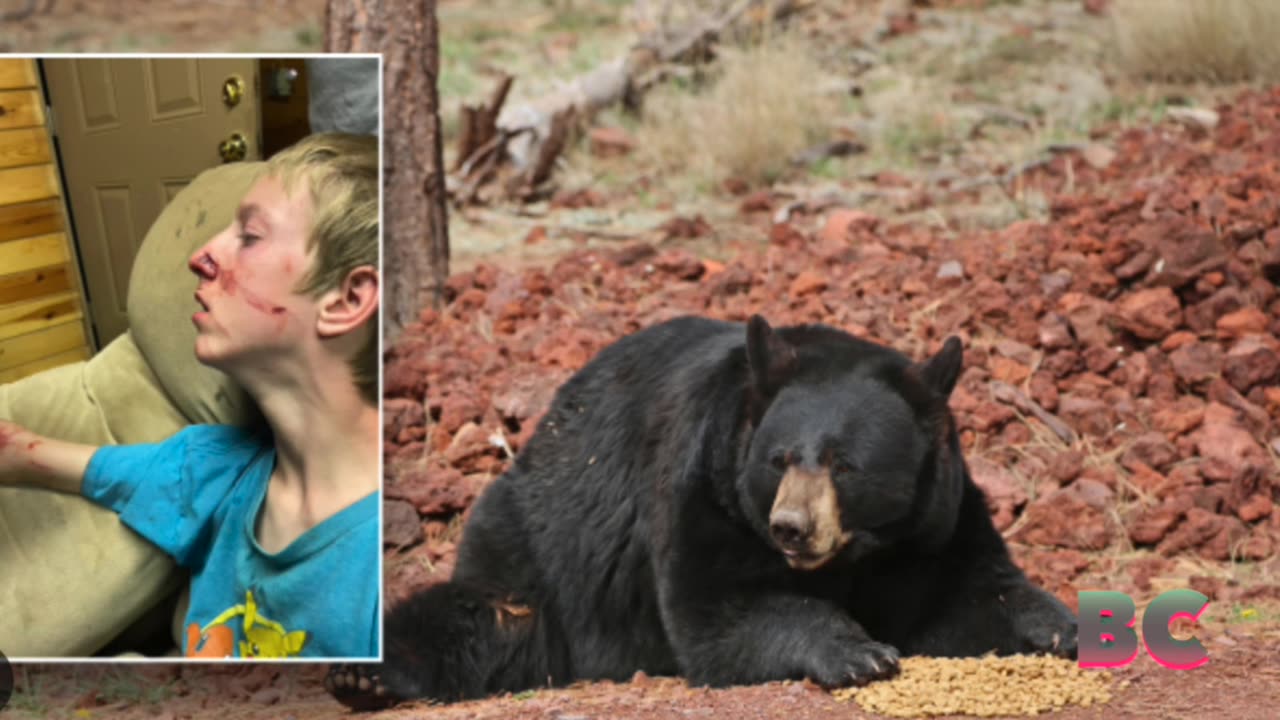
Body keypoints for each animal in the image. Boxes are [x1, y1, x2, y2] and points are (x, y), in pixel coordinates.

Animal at [328, 315, 1077, 710]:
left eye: (846, 464)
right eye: (779, 458)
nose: (790, 529)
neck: (856, 554)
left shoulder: (934, 517)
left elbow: (974, 590)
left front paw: (1066, 626)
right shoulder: (705, 492)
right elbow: (721, 611)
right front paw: (857, 652)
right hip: (533, 546)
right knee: (490, 621)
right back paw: (364, 672)